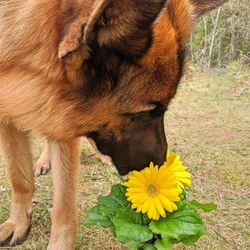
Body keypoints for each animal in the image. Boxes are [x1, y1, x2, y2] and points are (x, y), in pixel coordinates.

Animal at [0, 0, 227, 249]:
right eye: (147, 112)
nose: (159, 166)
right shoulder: (15, 114)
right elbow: (20, 179)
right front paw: (19, 224)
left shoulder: (59, 113)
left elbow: (63, 205)